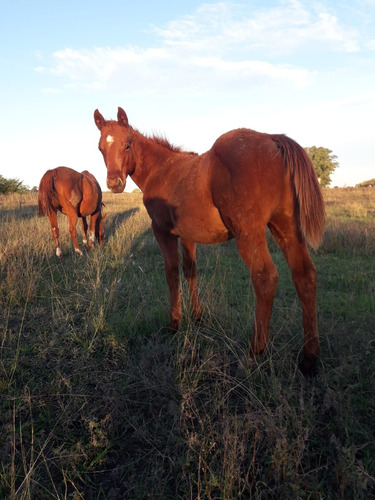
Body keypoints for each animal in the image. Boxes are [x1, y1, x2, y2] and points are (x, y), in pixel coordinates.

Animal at [94, 106, 326, 376]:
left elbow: (171, 273)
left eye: (128, 144)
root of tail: (272, 138)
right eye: (100, 148)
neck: (162, 170)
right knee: (305, 276)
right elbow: (190, 271)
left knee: (265, 277)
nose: (114, 183)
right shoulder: (187, 235)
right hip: (286, 227)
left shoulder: (162, 231)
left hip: (250, 232)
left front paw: (175, 323)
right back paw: (309, 358)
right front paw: (197, 317)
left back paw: (253, 354)